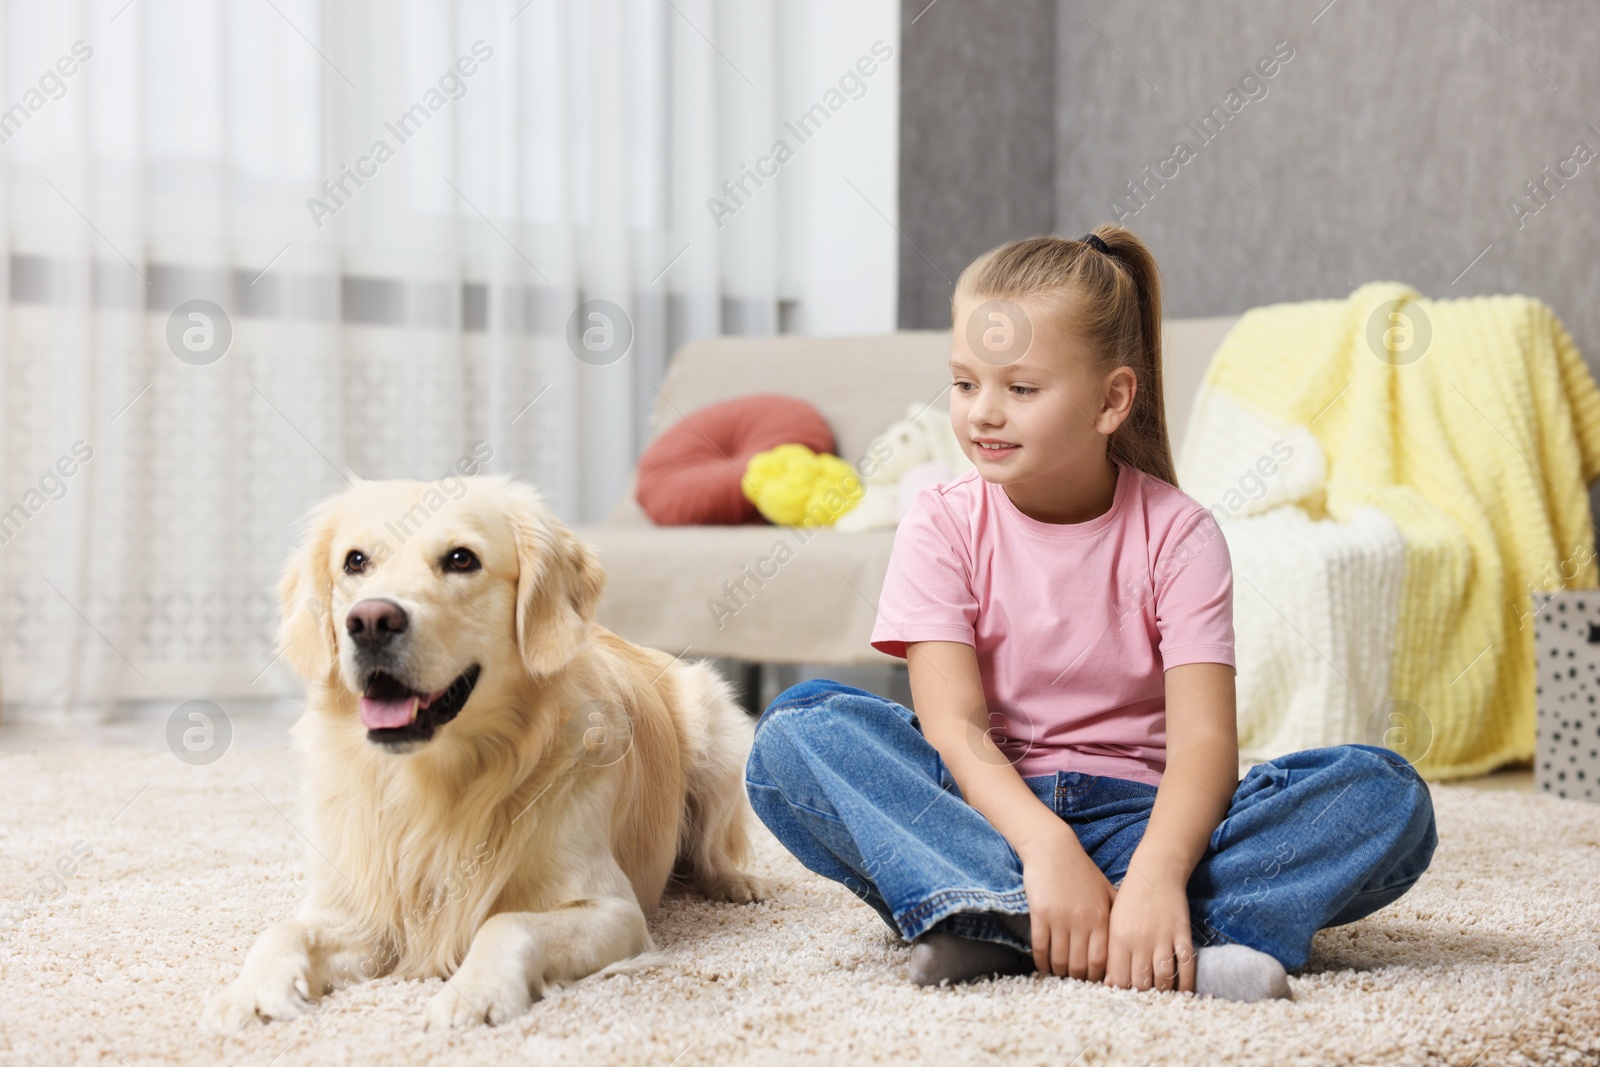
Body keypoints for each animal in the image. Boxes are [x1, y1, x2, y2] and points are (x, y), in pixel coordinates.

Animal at [203, 473, 764, 1023]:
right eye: (355, 562)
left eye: (461, 559)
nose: (370, 622)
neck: (436, 782)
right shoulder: (359, 910)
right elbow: (284, 929)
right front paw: (253, 993)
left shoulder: (614, 910)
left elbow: (509, 923)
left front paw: (475, 993)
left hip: (718, 725)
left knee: (711, 851)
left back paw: (734, 883)